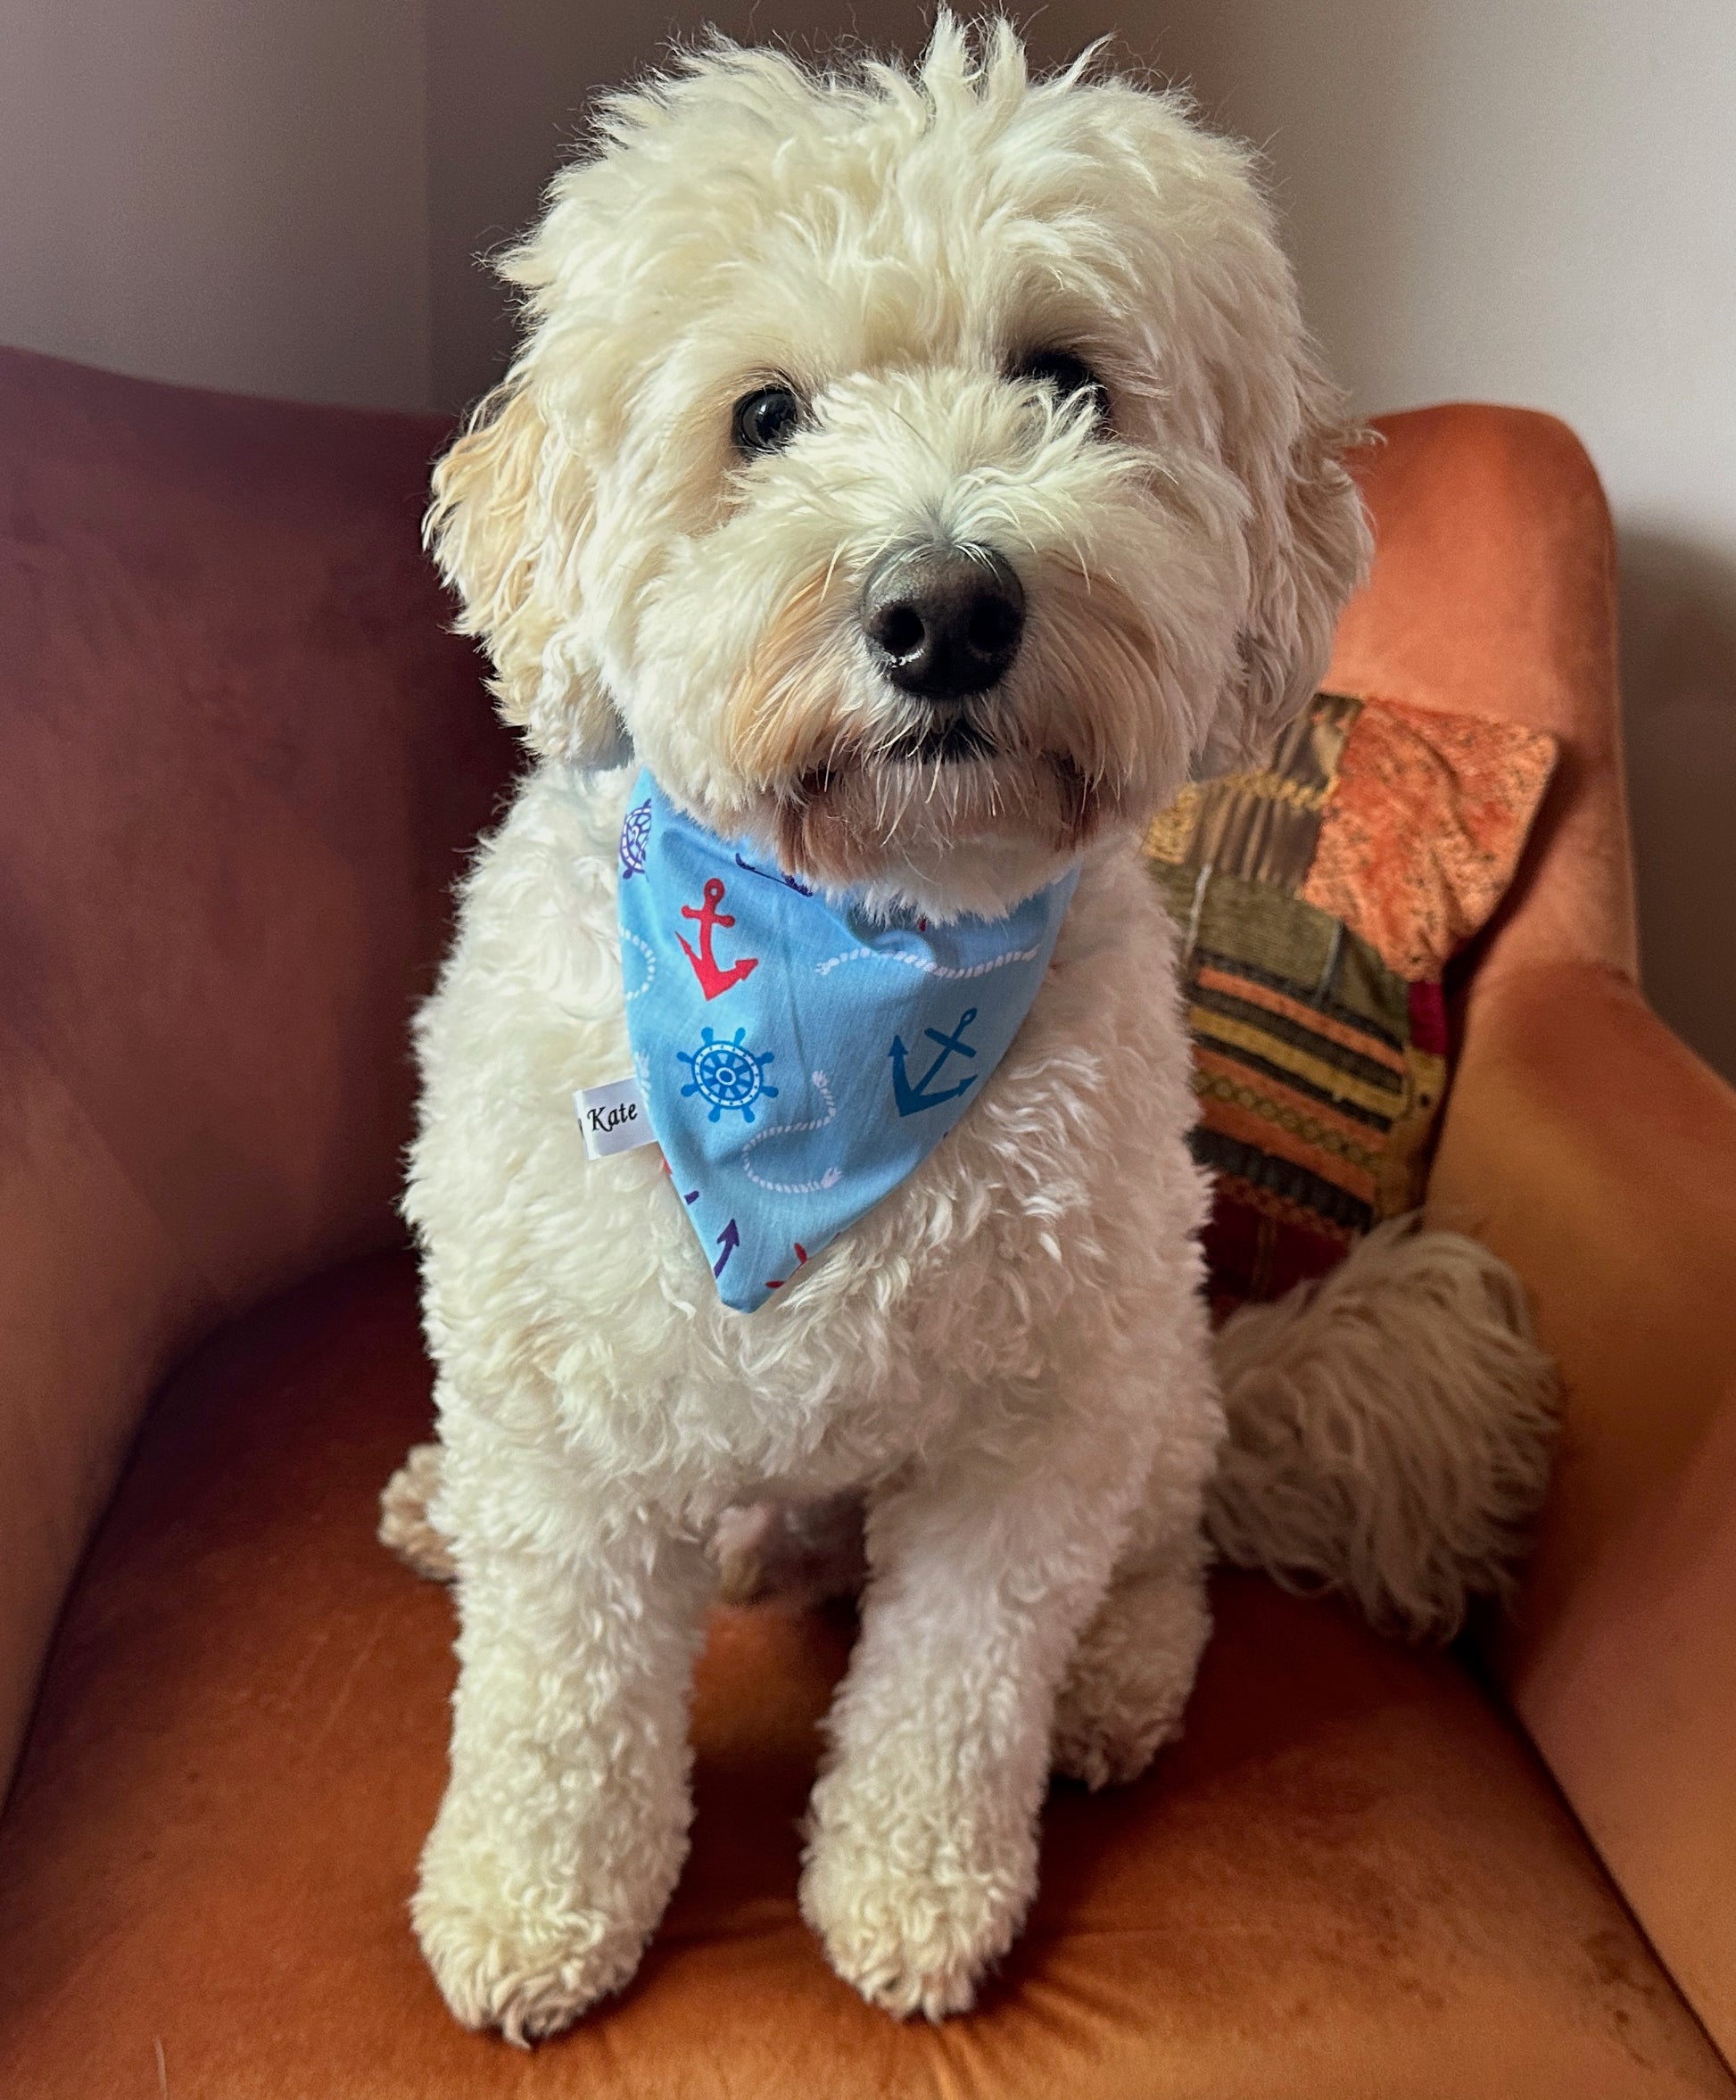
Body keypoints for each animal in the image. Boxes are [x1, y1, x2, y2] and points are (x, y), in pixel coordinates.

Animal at [396, 16, 1561, 2041]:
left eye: (1067, 381)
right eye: (762, 416)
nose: (944, 609)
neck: (861, 954)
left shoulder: (1030, 1432)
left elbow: (951, 1697)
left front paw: (912, 1904)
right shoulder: (560, 1402)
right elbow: (555, 1696)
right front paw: (535, 1904)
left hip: (1154, 1365)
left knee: (1166, 1546)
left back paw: (1116, 1680)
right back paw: (446, 1505)